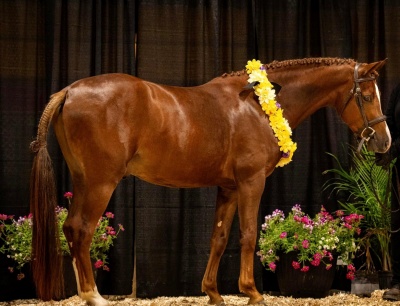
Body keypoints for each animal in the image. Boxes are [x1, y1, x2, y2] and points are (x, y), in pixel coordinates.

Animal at [29, 57, 390, 304]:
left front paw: (213, 293)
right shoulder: (251, 183)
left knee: (70, 229)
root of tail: (69, 91)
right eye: (367, 95)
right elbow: (247, 235)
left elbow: (219, 238)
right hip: (100, 182)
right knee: (82, 230)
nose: (384, 141)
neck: (257, 106)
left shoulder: (228, 188)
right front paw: (252, 292)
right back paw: (93, 296)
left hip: (84, 180)